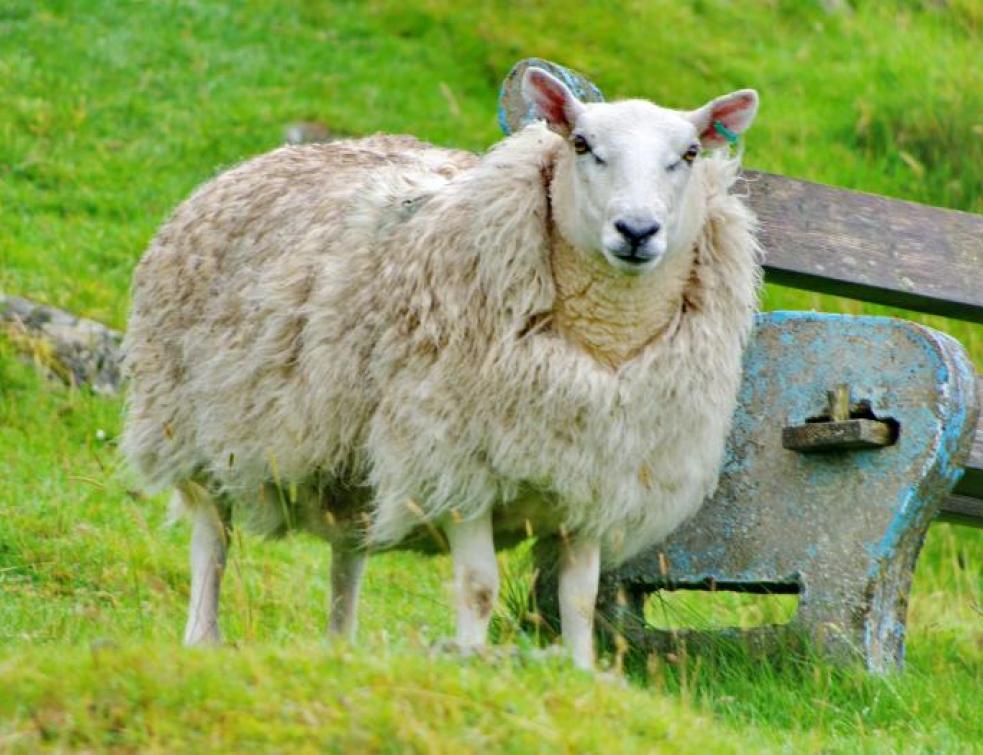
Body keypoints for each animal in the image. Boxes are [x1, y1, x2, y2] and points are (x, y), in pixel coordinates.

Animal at [121, 68, 760, 672]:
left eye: (690, 154)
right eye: (581, 144)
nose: (637, 231)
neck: (605, 343)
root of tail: (251, 163)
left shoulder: (594, 481)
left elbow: (578, 599)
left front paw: (580, 675)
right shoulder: (456, 466)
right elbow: (479, 587)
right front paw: (472, 663)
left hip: (351, 457)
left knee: (347, 554)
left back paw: (339, 646)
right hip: (195, 427)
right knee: (212, 539)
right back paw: (203, 637)